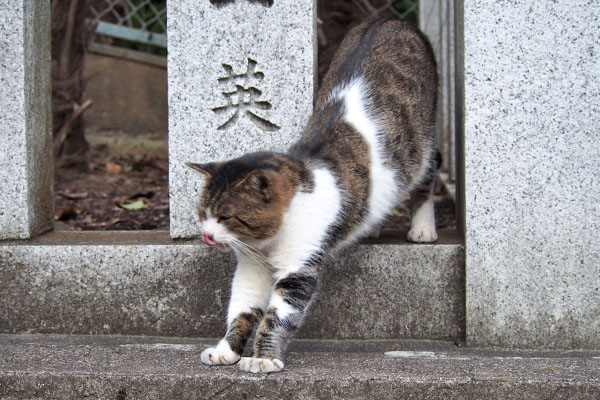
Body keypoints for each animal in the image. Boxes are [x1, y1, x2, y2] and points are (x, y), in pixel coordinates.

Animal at [190, 18, 438, 376]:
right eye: (203, 214)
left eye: (225, 216)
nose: (207, 235)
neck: (267, 243)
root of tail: (387, 20)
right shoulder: (251, 266)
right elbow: (242, 308)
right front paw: (227, 349)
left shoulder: (299, 266)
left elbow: (277, 316)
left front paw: (263, 357)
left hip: (422, 145)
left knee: (427, 175)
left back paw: (423, 228)